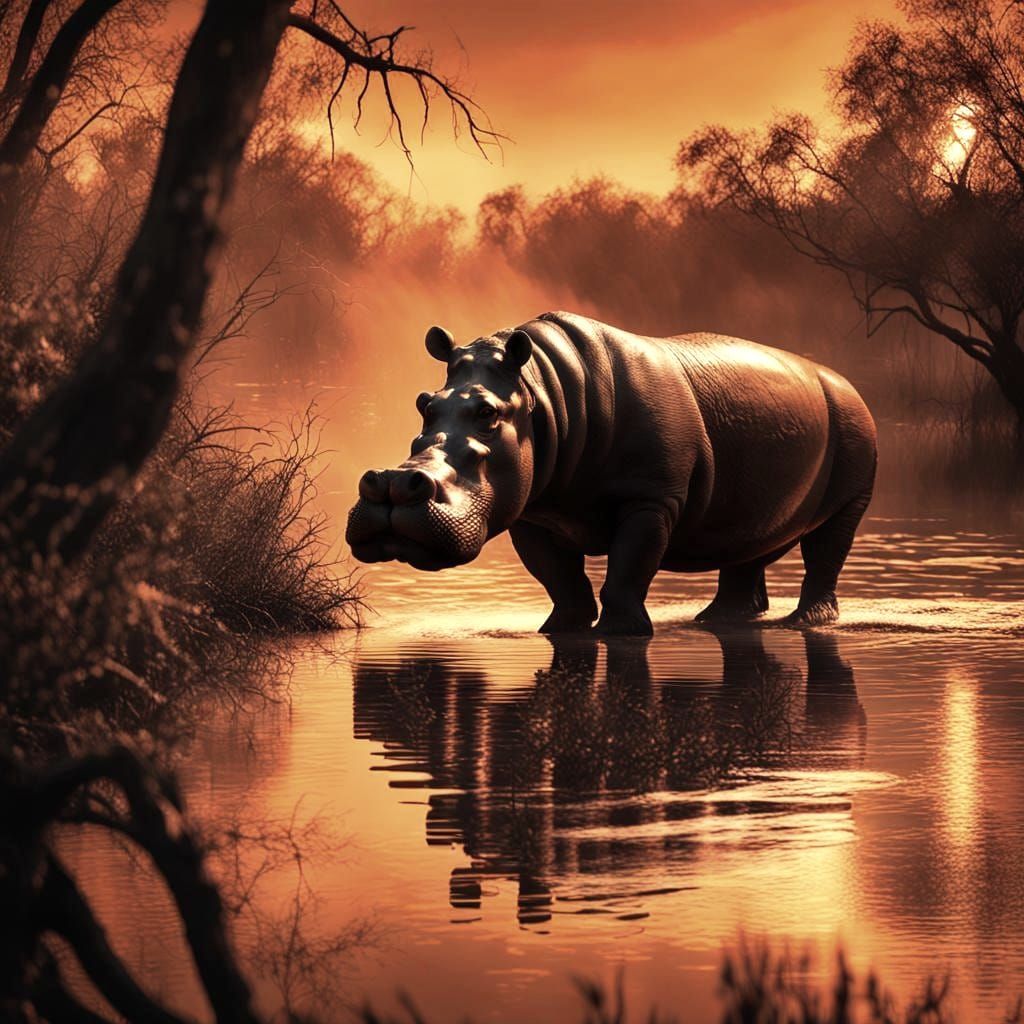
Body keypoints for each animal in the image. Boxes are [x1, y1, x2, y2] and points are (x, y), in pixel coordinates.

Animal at [346, 312, 877, 636]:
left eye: (488, 413)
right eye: (424, 404)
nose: (392, 484)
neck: (544, 393)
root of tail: (846, 379)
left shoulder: (651, 499)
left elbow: (629, 565)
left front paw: (621, 632)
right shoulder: (534, 514)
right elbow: (560, 577)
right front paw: (559, 629)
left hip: (854, 450)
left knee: (827, 547)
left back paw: (806, 623)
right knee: (747, 545)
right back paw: (715, 622)